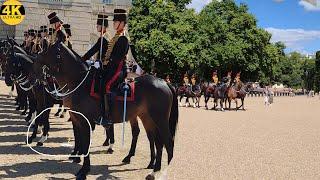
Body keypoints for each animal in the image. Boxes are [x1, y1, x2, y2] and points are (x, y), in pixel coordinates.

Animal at [32, 43, 179, 179]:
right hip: (147, 118)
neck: (79, 82)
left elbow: (85, 144)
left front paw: (83, 170)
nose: (35, 68)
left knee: (168, 143)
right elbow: (80, 140)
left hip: (160, 120)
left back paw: (159, 171)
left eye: (48, 50)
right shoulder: (77, 119)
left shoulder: (85, 122)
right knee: (156, 141)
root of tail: (165, 82)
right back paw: (151, 166)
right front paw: (77, 159)